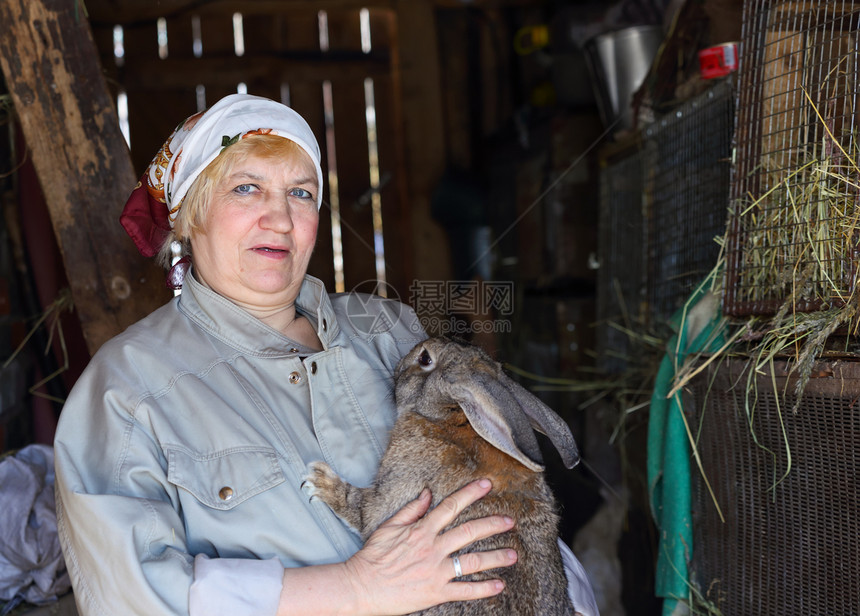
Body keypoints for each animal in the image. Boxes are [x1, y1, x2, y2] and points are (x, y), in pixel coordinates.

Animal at [306, 336, 580, 616]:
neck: (453, 416)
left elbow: (362, 511)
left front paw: (320, 481)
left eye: (425, 359)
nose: (400, 363)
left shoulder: (397, 492)